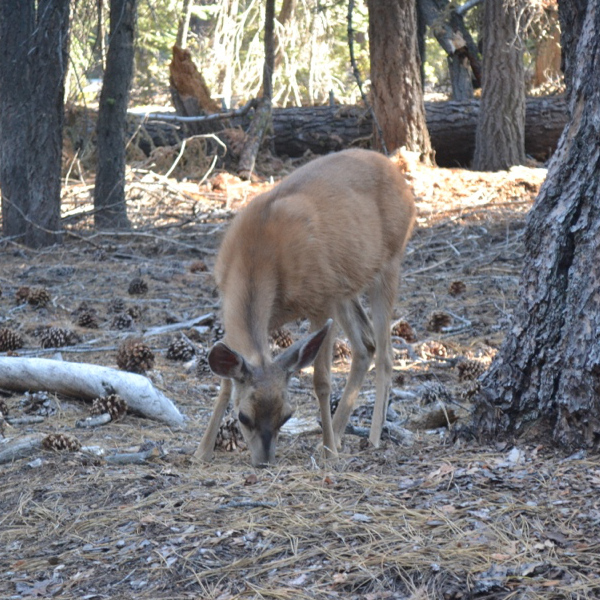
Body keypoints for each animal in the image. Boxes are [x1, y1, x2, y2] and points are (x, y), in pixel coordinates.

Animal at [195, 148, 414, 466]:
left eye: (286, 417)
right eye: (243, 417)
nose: (264, 461)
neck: (257, 252)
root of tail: (397, 172)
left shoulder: (320, 302)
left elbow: (321, 381)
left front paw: (329, 452)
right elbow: (225, 382)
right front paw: (202, 451)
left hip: (388, 264)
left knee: (385, 354)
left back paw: (367, 438)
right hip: (344, 288)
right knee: (366, 345)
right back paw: (337, 433)